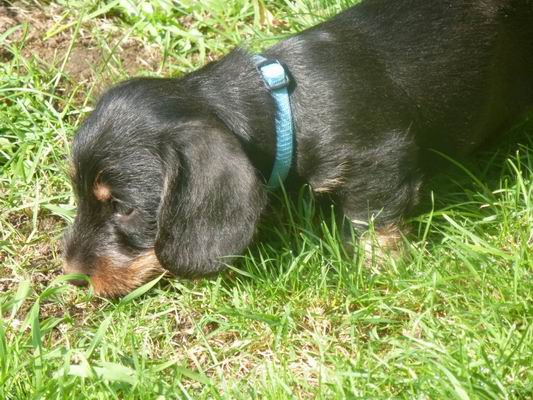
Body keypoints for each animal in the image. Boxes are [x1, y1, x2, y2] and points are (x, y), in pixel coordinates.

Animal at [63, 0, 533, 297]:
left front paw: (382, 273)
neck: (283, 107)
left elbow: (373, 224)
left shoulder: (380, 160)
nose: (71, 277)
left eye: (124, 207)